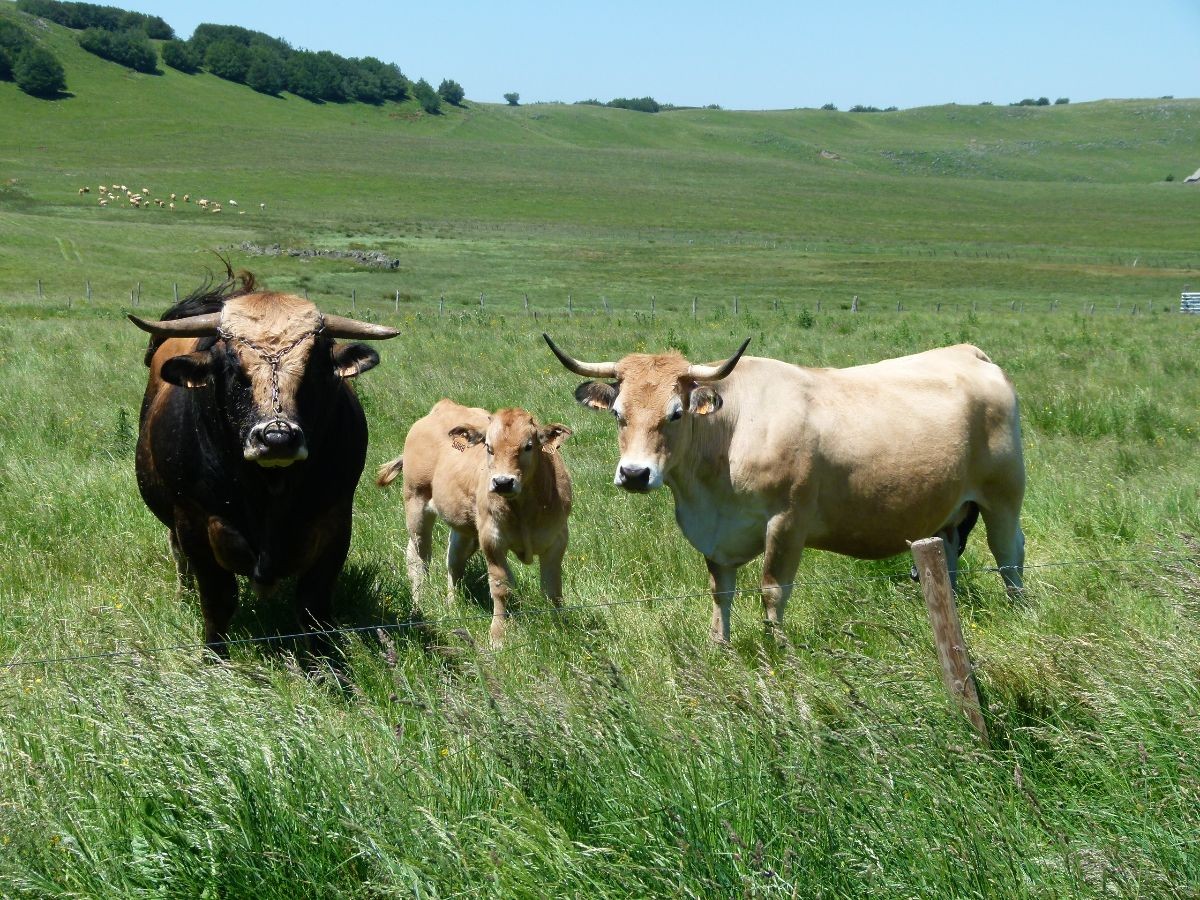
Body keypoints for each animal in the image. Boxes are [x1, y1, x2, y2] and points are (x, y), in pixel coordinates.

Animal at [132, 271, 398, 652]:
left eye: (316, 366)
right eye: (231, 367)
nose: (277, 439)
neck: (268, 489)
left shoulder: (335, 521)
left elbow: (313, 606)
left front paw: (325, 661)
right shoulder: (195, 522)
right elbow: (218, 599)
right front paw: (214, 657)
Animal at [379, 403, 576, 648]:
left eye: (528, 446)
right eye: (489, 448)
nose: (503, 482)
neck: (524, 509)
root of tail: (444, 405)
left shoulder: (557, 540)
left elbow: (552, 590)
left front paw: (560, 629)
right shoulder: (491, 539)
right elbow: (501, 587)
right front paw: (498, 637)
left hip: (463, 524)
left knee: (454, 560)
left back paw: (453, 603)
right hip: (415, 502)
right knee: (418, 557)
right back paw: (419, 602)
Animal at [544, 336, 1022, 643]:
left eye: (676, 413)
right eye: (618, 414)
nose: (634, 474)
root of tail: (967, 352)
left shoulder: (788, 522)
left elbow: (772, 589)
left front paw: (779, 653)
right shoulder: (717, 534)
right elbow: (721, 591)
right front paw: (720, 645)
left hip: (1003, 496)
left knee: (1009, 554)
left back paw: (1020, 610)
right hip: (949, 512)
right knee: (949, 558)